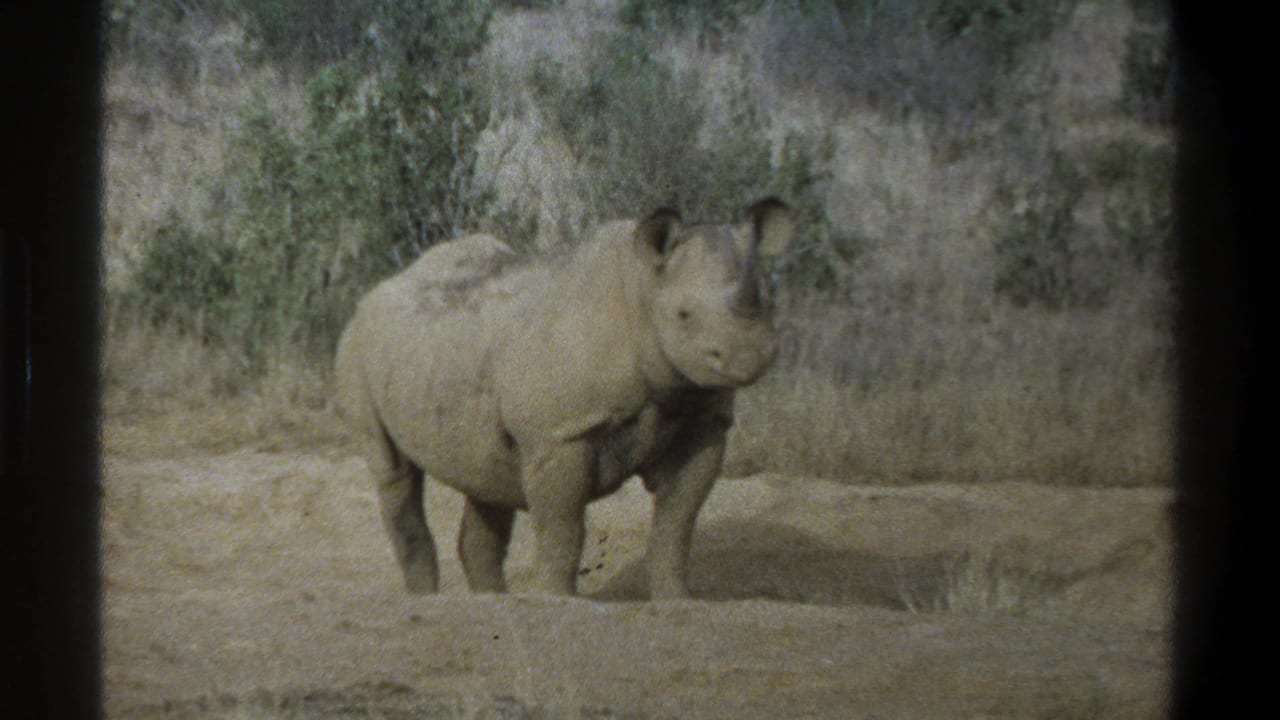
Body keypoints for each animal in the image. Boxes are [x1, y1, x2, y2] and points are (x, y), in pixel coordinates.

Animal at [334, 198, 794, 598]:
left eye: (769, 302)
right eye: (684, 315)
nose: (749, 356)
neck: (642, 290)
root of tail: (376, 290)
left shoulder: (703, 422)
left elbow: (678, 523)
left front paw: (677, 600)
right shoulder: (560, 434)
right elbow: (563, 526)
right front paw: (556, 599)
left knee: (485, 476)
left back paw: (492, 600)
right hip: (357, 347)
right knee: (394, 471)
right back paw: (426, 597)